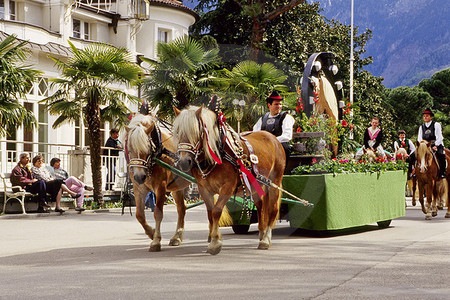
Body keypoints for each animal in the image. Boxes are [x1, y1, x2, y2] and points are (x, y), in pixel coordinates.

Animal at [125, 113, 190, 252]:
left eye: (147, 148)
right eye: (130, 149)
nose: (139, 176)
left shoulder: (160, 186)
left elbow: (158, 213)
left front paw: (156, 240)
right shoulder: (139, 188)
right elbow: (139, 215)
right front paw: (151, 232)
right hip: (177, 186)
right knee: (181, 208)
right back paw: (177, 236)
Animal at [173, 106, 284, 254]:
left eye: (196, 132)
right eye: (178, 133)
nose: (184, 162)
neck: (218, 153)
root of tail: (272, 138)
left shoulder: (228, 187)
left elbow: (216, 211)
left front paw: (215, 242)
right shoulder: (203, 189)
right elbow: (210, 213)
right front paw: (214, 238)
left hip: (275, 181)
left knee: (272, 208)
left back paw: (266, 238)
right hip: (256, 184)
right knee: (261, 206)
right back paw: (262, 233)